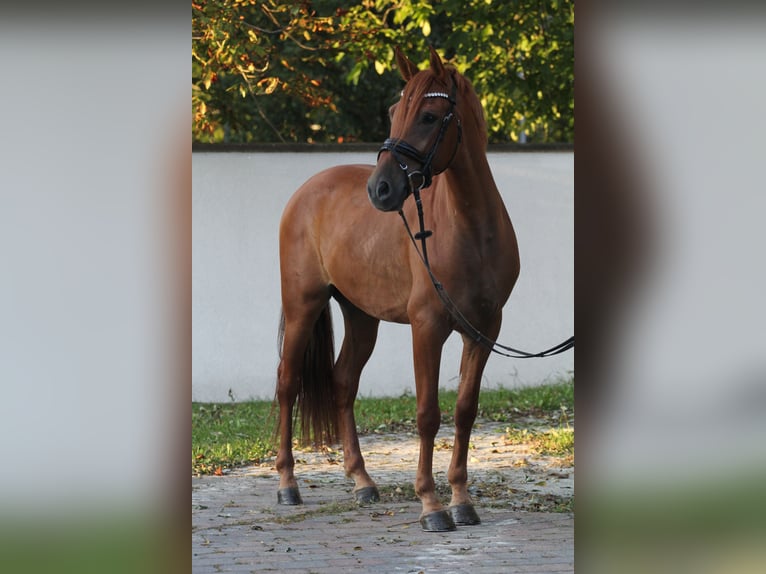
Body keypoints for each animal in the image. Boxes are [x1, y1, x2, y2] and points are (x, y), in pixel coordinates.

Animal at [276, 47, 520, 532]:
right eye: (394, 111)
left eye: (428, 116)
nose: (381, 189)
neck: (470, 231)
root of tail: (305, 192)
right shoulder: (426, 328)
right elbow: (427, 414)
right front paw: (431, 505)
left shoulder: (484, 331)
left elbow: (464, 411)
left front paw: (462, 500)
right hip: (302, 307)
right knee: (287, 382)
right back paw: (287, 484)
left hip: (361, 316)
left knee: (342, 382)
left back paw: (362, 482)